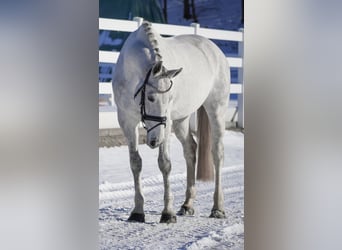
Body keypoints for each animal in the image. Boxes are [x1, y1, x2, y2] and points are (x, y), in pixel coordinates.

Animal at [112, 21, 230, 223]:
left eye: (170, 99)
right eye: (150, 97)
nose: (154, 140)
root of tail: (214, 48)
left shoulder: (165, 127)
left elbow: (164, 163)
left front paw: (167, 213)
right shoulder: (127, 121)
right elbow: (135, 163)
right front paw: (137, 211)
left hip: (216, 110)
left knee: (217, 154)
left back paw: (218, 208)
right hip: (181, 120)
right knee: (190, 150)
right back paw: (187, 205)